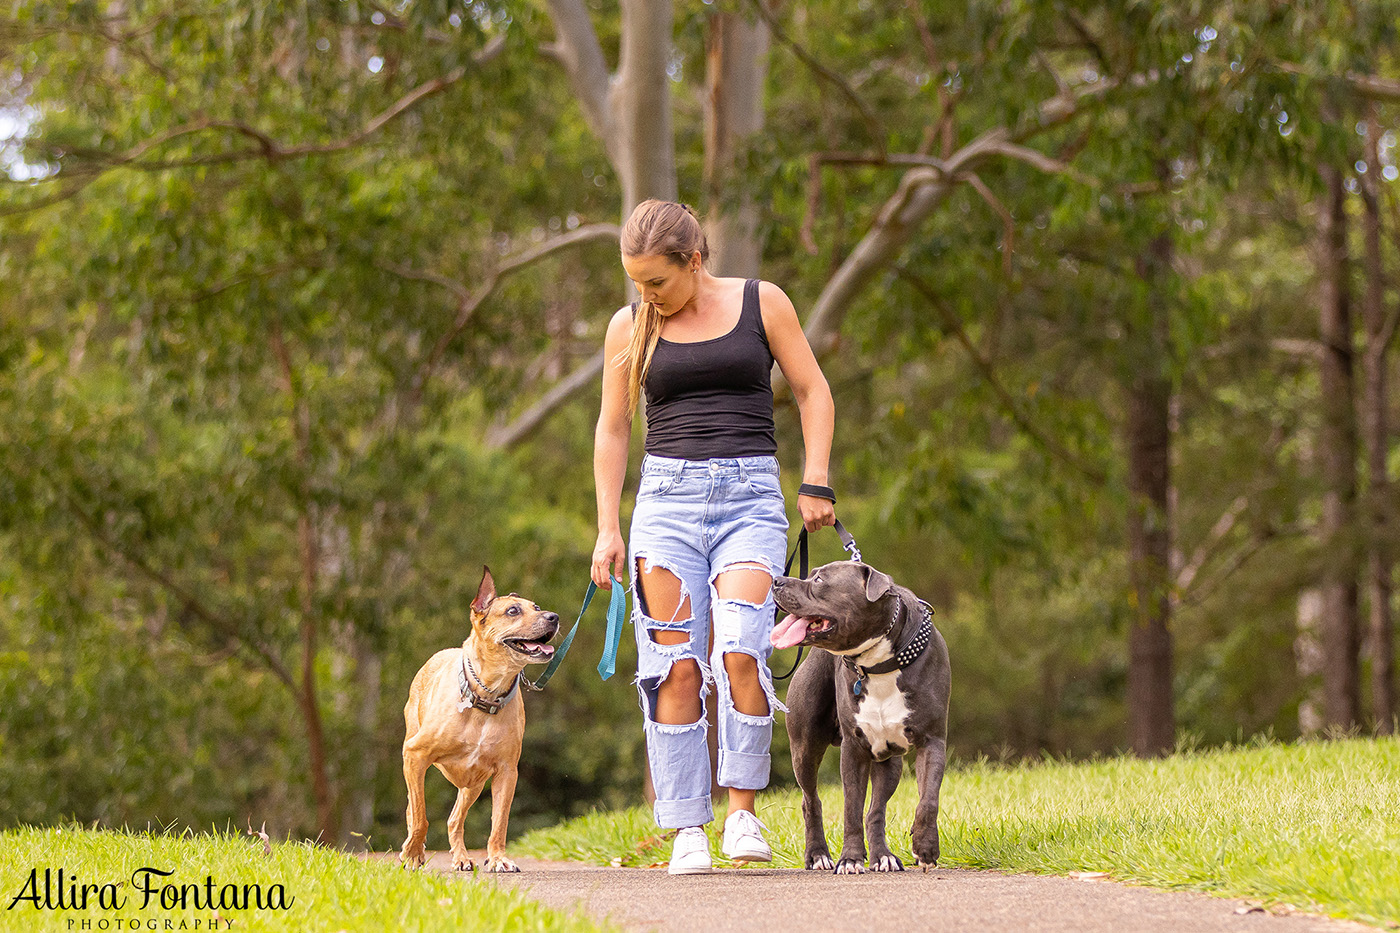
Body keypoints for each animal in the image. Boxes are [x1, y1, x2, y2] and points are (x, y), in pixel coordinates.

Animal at [397, 565, 560, 874]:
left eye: (536, 607)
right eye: (512, 611)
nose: (553, 617)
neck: (487, 695)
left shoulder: (507, 771)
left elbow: (500, 822)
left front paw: (498, 859)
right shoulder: (415, 755)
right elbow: (421, 815)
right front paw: (411, 854)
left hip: (473, 781)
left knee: (454, 820)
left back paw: (461, 857)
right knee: (413, 809)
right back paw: (417, 850)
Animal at [767, 560, 952, 874]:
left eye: (818, 580)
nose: (777, 580)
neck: (879, 663)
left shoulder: (932, 740)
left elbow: (928, 800)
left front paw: (925, 847)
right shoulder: (853, 749)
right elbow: (851, 808)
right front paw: (851, 859)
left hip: (890, 762)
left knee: (876, 810)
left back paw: (882, 856)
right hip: (804, 748)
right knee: (810, 801)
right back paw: (818, 855)